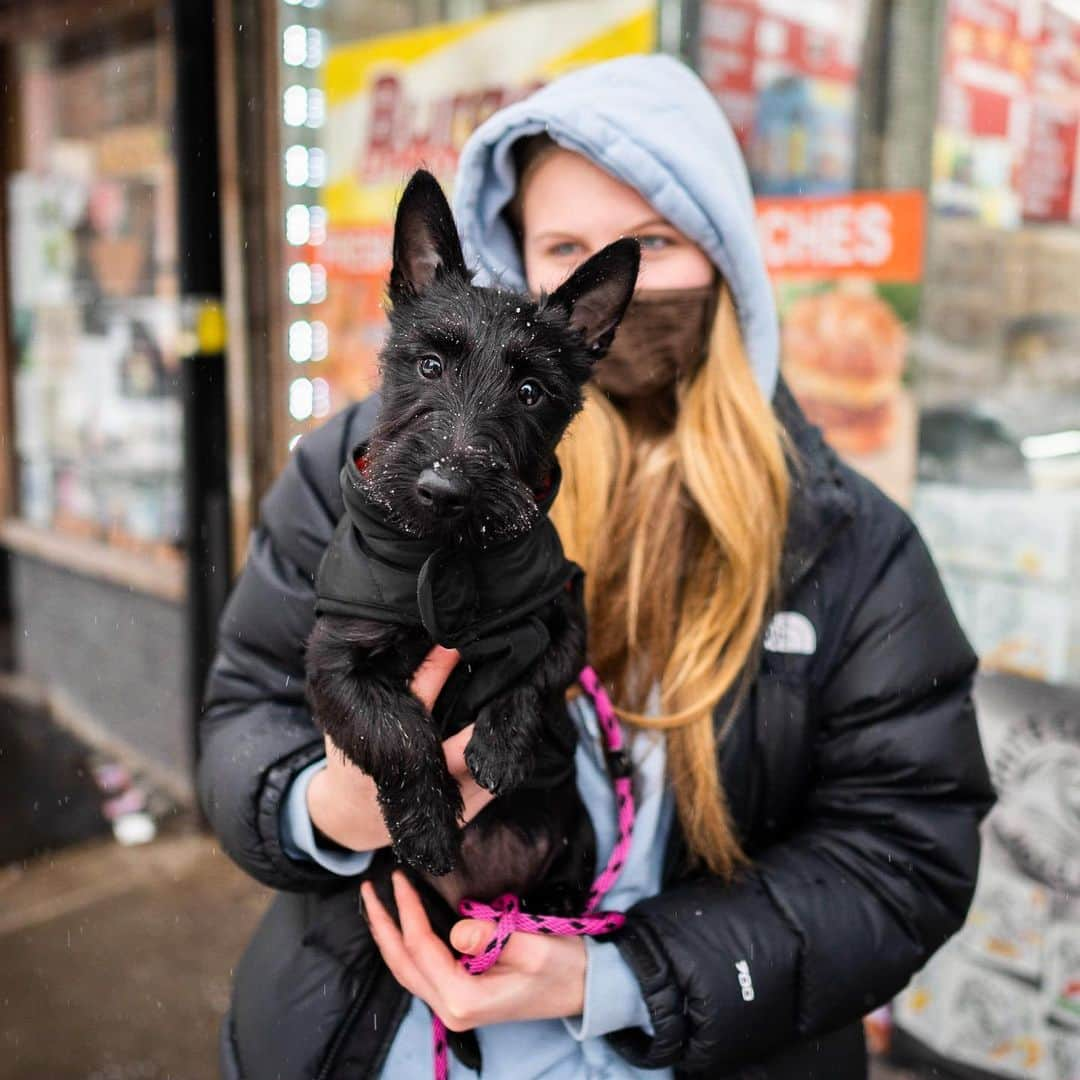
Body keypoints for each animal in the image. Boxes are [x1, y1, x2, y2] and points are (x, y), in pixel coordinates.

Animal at [304, 170, 635, 902]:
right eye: (430, 365)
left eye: (532, 391)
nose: (445, 490)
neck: (446, 552)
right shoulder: (336, 663)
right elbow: (397, 731)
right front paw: (427, 826)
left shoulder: (563, 620)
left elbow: (535, 681)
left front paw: (500, 750)